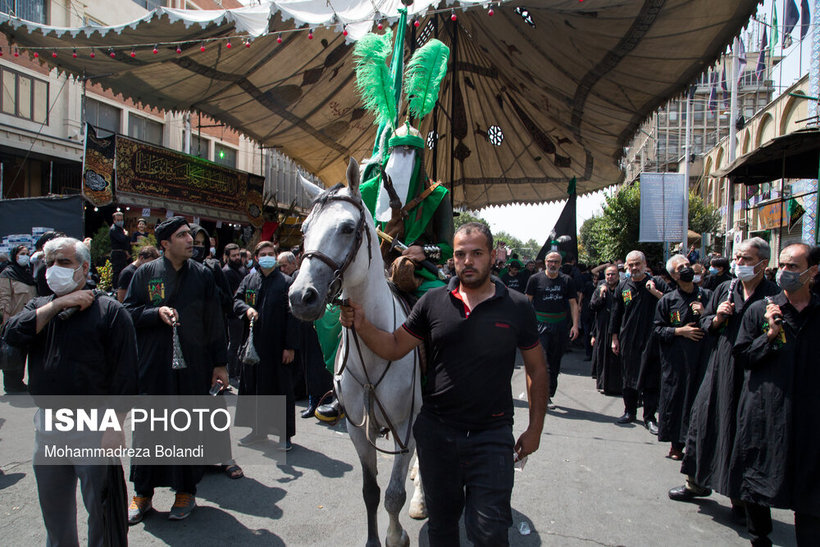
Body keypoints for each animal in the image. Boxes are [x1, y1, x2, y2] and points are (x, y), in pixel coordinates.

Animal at [290, 159, 422, 547]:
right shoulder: (358, 430)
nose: (301, 296)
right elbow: (371, 492)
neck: (377, 345)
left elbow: (393, 495)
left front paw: (397, 537)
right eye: (304, 229)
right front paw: (375, 540)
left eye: (348, 227)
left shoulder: (406, 426)